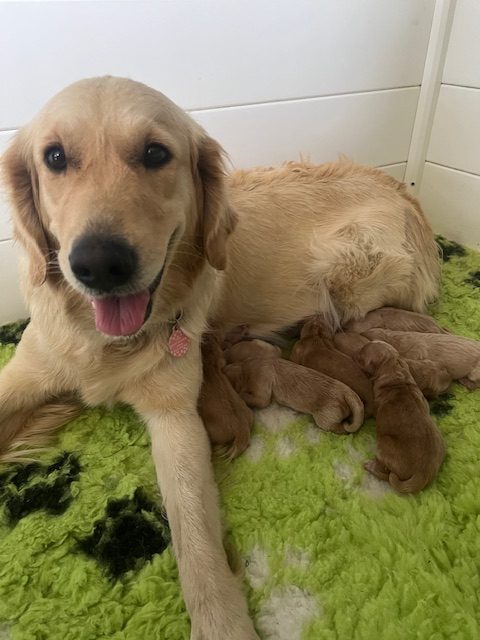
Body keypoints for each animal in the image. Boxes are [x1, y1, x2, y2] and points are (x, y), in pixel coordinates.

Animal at [223, 338, 362, 432]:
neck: (246, 367)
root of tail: (347, 393)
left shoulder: (261, 386)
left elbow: (258, 399)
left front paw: (241, 395)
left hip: (326, 419)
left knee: (341, 429)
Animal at [356, 340, 446, 496]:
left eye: (362, 357)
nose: (357, 351)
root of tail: (422, 473)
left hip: (383, 443)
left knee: (385, 473)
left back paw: (369, 465)